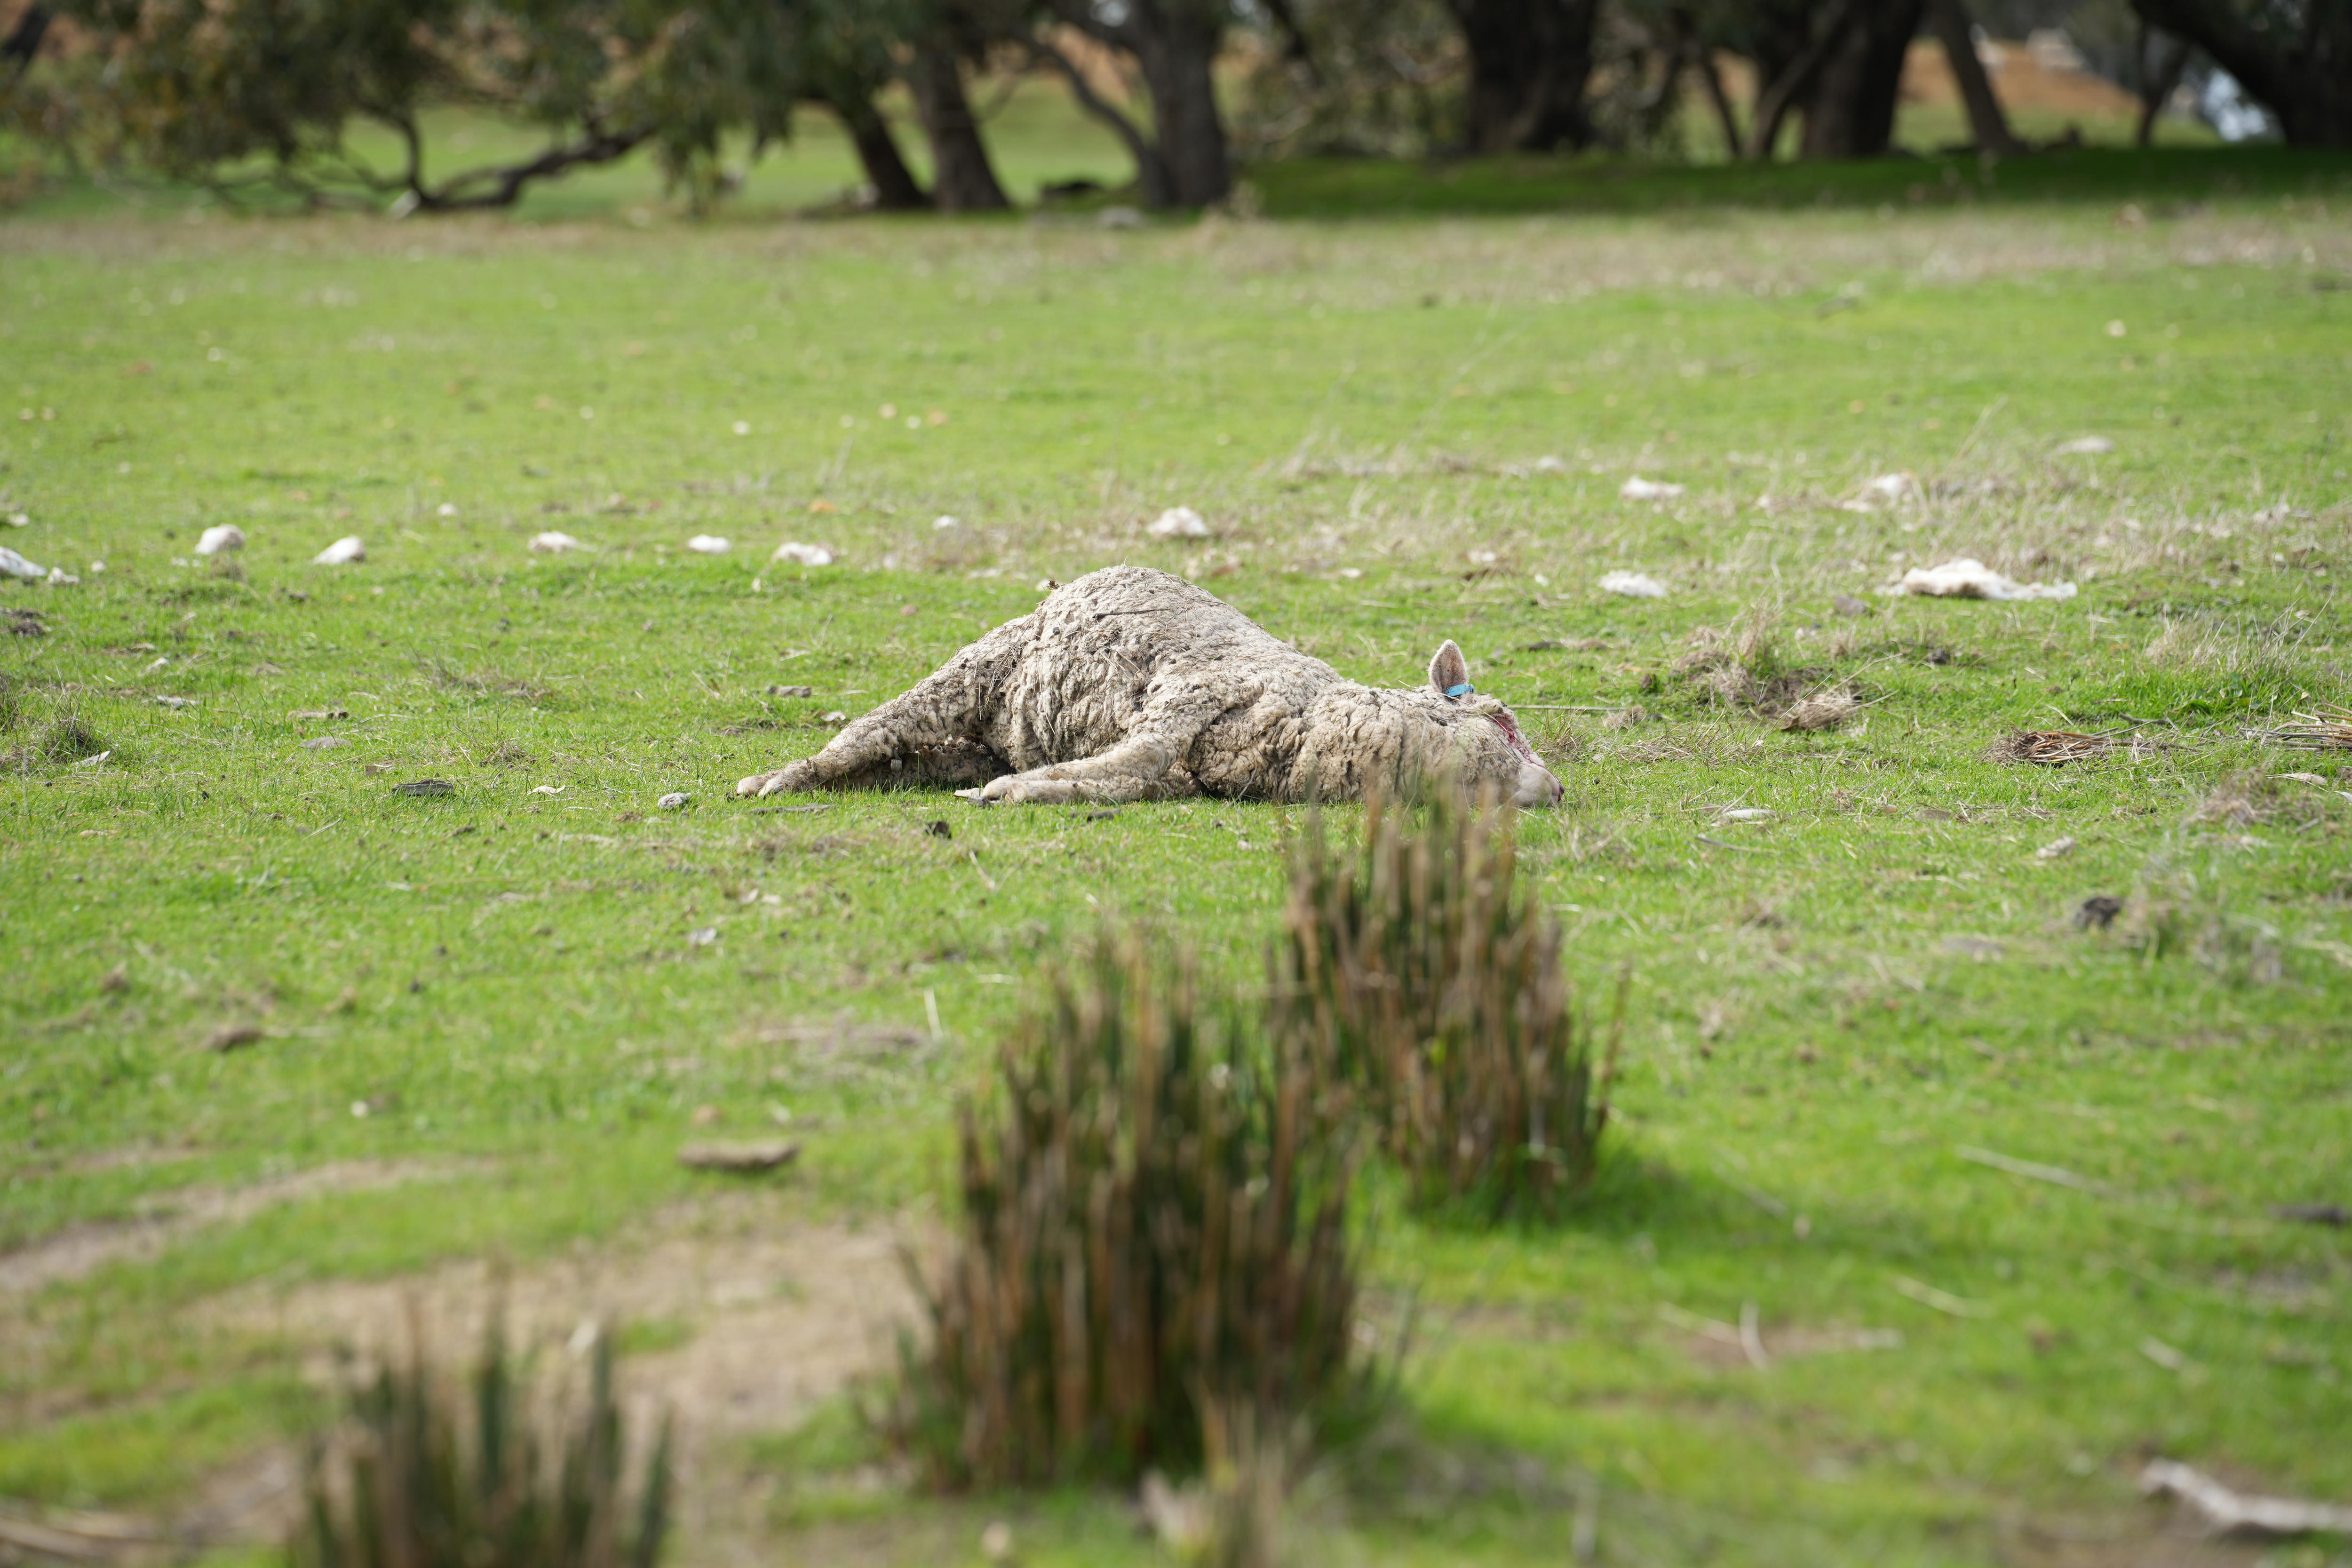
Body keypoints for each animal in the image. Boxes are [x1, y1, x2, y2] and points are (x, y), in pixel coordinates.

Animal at [735, 565, 1563, 808]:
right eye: (1505, 722)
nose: (1556, 790)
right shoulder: (1187, 702)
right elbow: (1129, 760)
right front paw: (1009, 797)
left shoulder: (1175, 771)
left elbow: (1115, 777)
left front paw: (1019, 791)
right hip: (983, 663)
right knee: (875, 728)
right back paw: (783, 778)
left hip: (990, 729)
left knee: (913, 755)